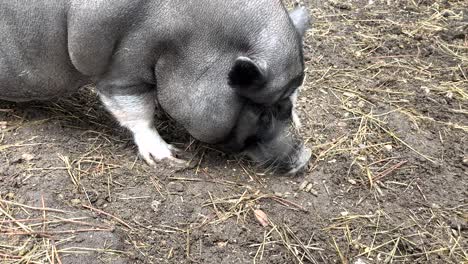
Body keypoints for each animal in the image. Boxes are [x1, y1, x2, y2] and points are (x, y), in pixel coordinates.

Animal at [1, 0, 312, 175]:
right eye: (264, 113)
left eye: (290, 105)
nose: (304, 159)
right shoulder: (120, 69)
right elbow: (137, 112)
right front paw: (172, 158)